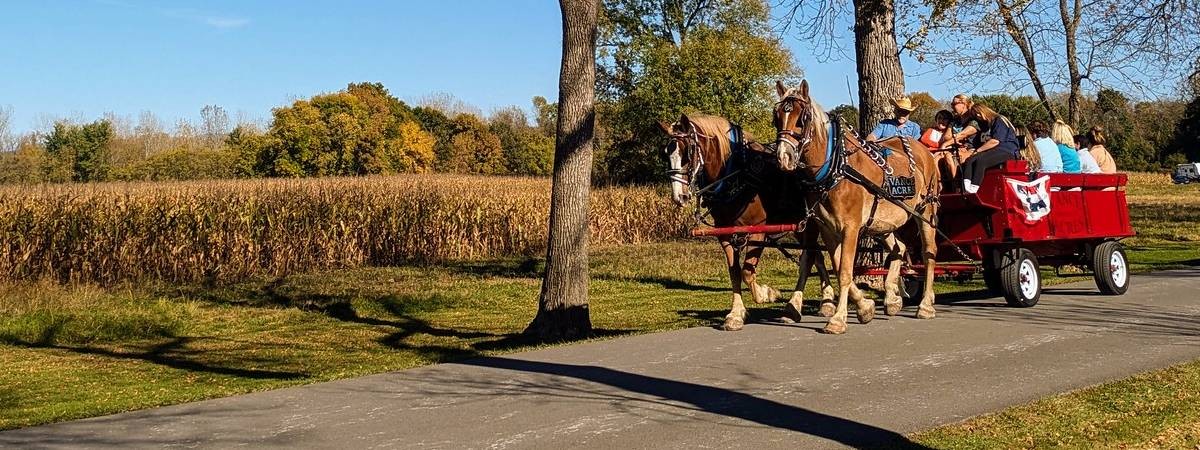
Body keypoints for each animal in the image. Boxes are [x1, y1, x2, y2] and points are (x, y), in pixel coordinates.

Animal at [659, 113, 834, 331]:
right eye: (666, 154)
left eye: (687, 152)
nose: (679, 196)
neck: (736, 173)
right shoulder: (724, 233)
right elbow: (734, 272)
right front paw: (735, 314)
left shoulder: (758, 231)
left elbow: (747, 272)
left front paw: (767, 293)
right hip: (800, 226)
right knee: (816, 256)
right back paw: (823, 302)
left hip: (810, 224)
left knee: (811, 257)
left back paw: (811, 305)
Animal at [771, 80, 940, 335]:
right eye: (776, 116)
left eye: (803, 118)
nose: (784, 157)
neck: (836, 168)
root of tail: (924, 150)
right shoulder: (828, 229)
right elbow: (838, 265)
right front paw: (865, 307)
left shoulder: (850, 227)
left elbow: (844, 271)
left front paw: (838, 319)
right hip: (883, 222)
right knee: (899, 247)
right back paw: (892, 298)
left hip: (925, 212)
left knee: (929, 253)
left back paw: (926, 305)